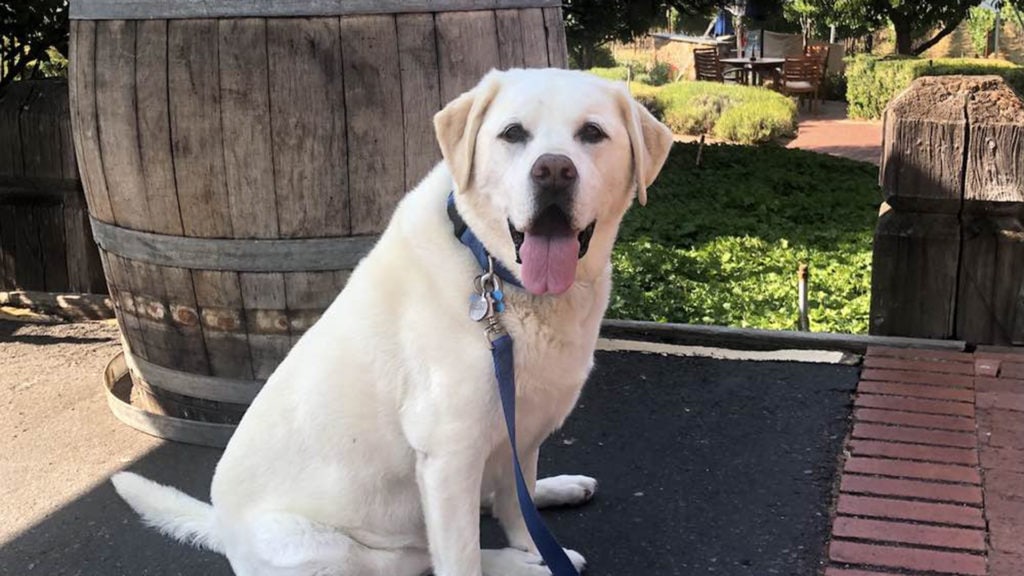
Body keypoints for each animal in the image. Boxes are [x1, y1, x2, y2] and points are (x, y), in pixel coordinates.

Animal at [112, 68, 675, 573]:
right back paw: (526, 562)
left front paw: (535, 535)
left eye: (592, 133)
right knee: (431, 555)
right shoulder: (448, 455)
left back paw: (554, 497)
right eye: (513, 133)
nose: (554, 171)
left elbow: (517, 504)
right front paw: (533, 556)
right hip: (338, 549)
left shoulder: (524, 427)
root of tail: (223, 529)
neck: (497, 278)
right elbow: (464, 557)